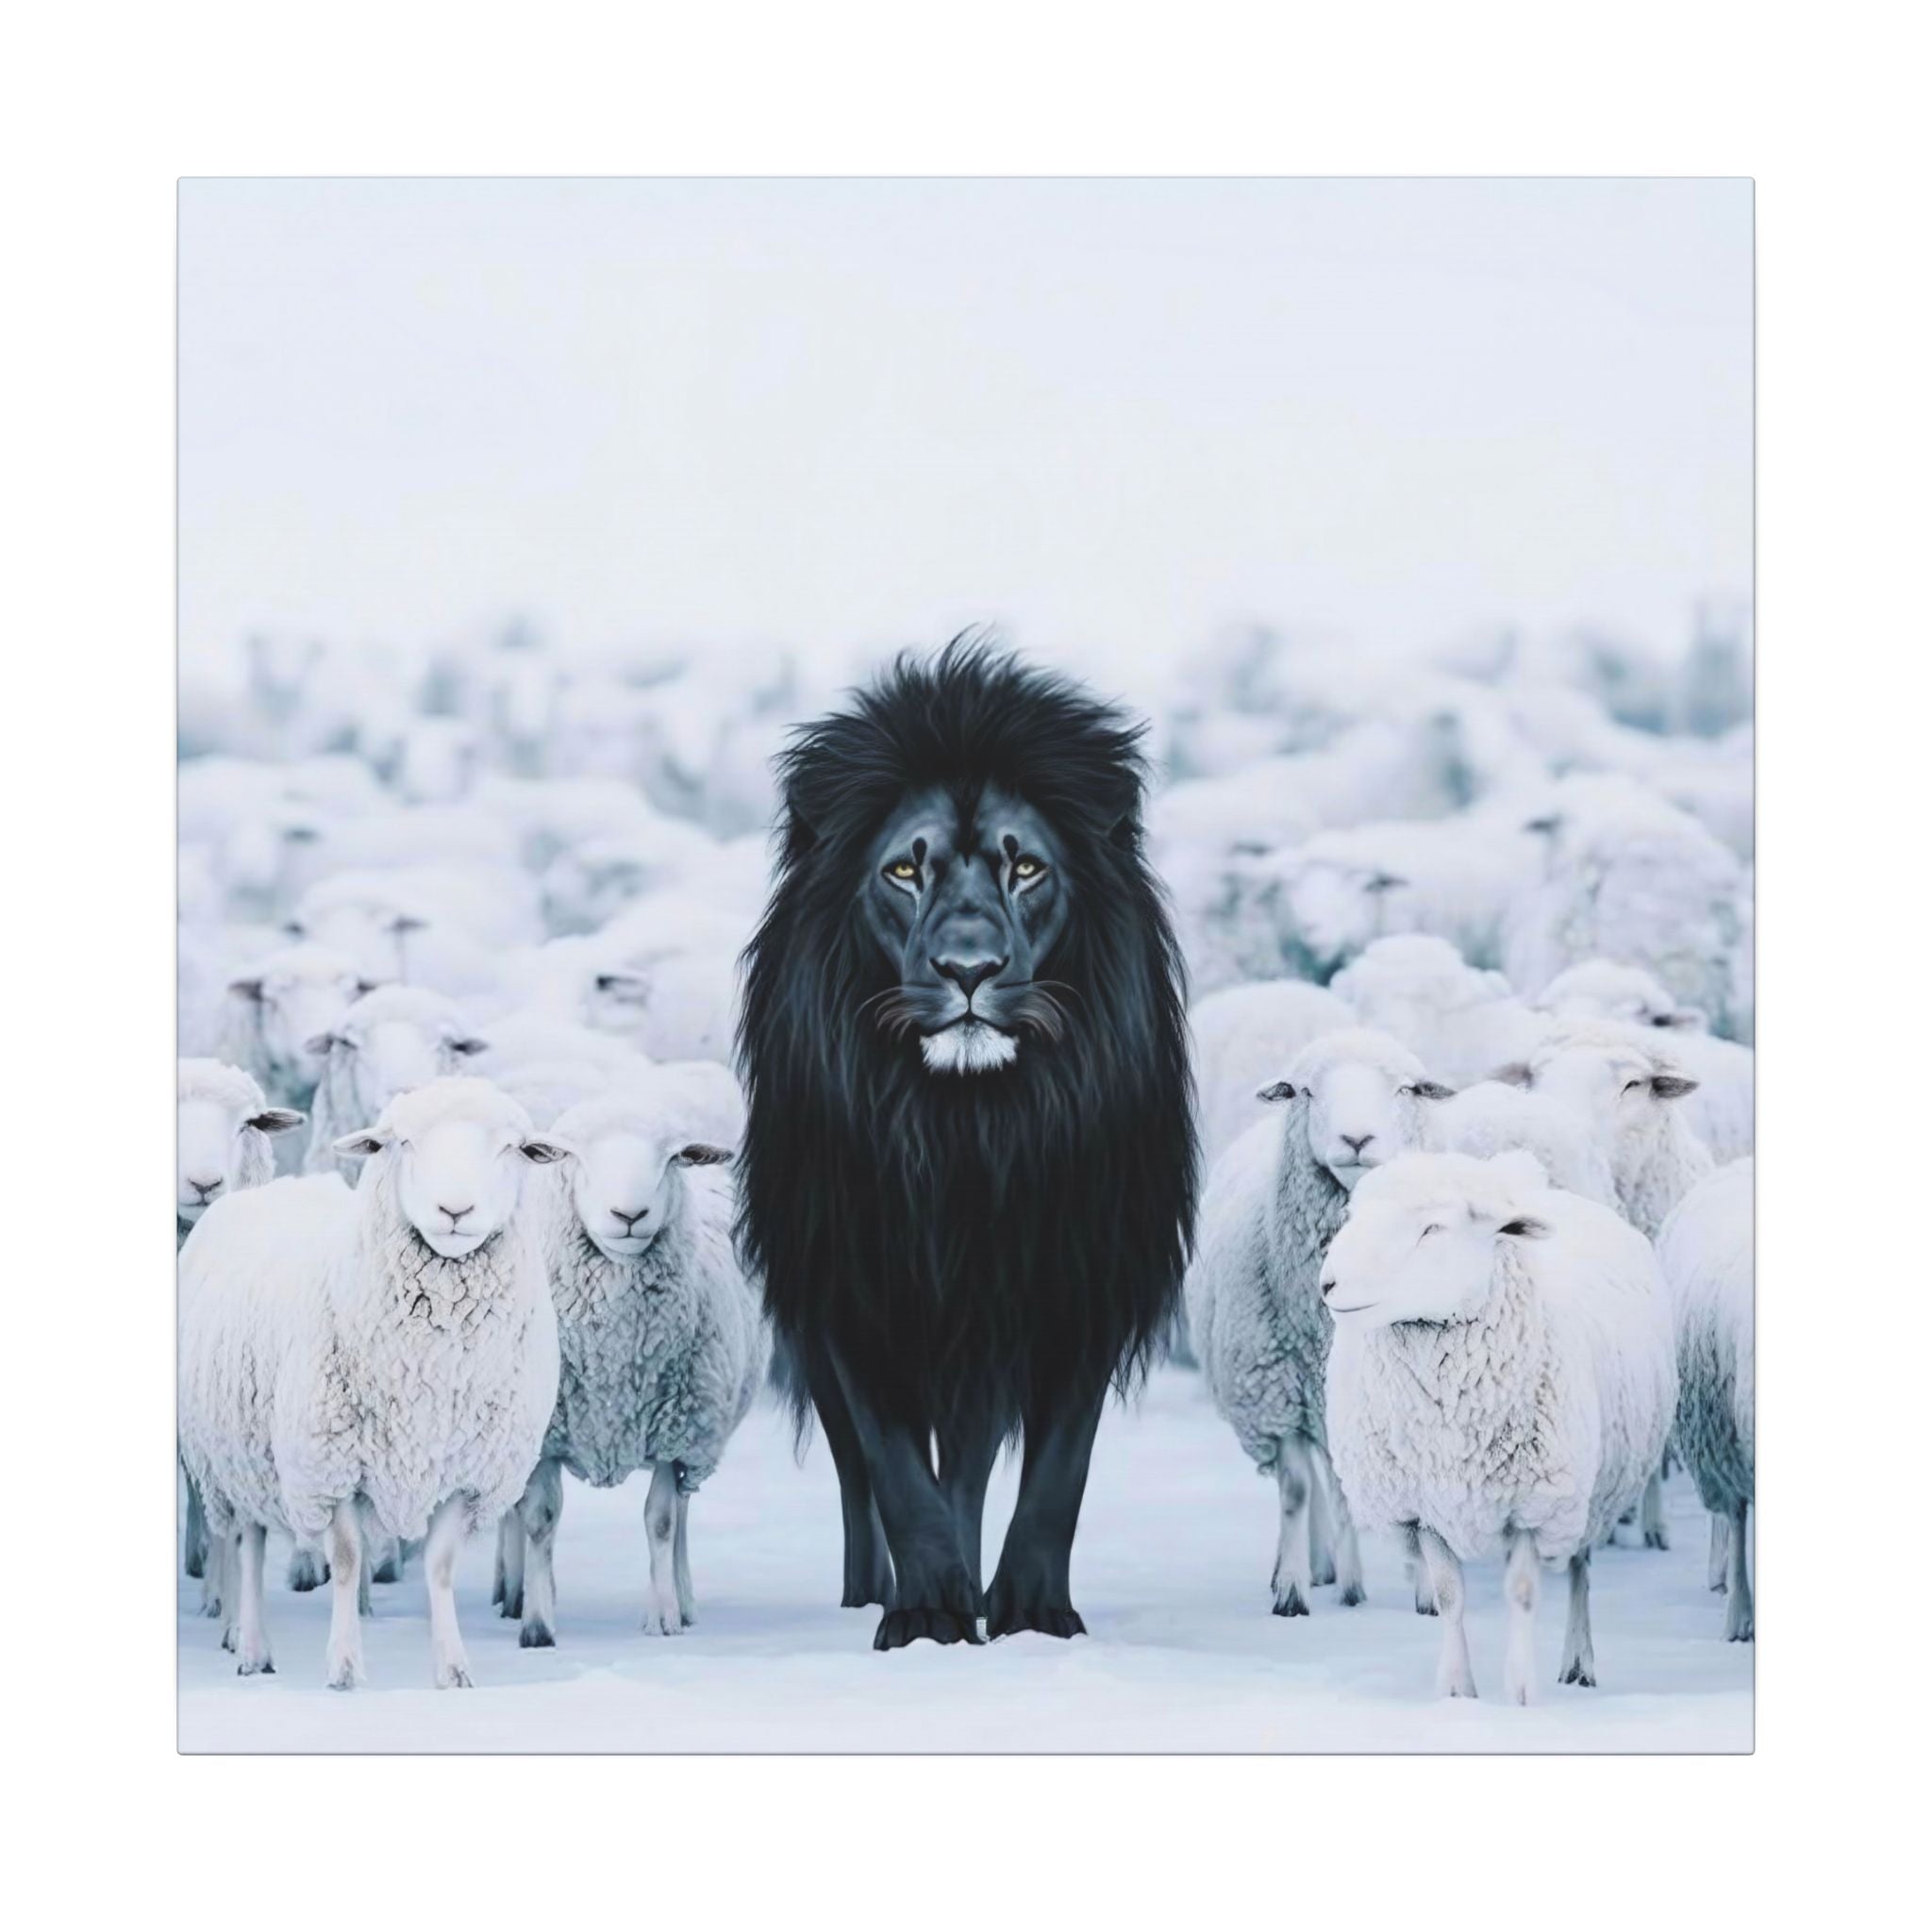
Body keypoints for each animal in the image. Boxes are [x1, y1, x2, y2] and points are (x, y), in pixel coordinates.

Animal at [177, 1077, 565, 1687]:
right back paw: (251, 1646)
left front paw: (453, 1669)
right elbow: (346, 1558)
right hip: (237, 1459)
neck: (432, 1367)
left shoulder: (465, 1473)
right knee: (247, 1544)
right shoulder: (329, 1465)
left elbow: (440, 1565)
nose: (455, 1210)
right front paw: (344, 1667)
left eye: (514, 1149)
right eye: (400, 1142)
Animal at [496, 1083, 768, 1646]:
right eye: (572, 1155)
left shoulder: (672, 1431)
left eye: (673, 1158)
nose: (629, 1214)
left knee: (683, 1511)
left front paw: (663, 1616)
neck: (615, 1360)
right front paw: (536, 1623)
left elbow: (661, 1520)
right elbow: (539, 1518)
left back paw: (684, 1602)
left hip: (697, 1439)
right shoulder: (544, 1435)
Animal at [737, 640, 1197, 1648]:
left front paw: (1030, 1614)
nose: (970, 970)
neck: (971, 1133)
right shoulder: (855, 1290)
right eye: (904, 874)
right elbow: (898, 1475)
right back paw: (873, 1592)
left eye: (1025, 870)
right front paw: (924, 1615)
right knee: (860, 1478)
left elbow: (1056, 1474)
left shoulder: (1078, 1282)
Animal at [1184, 1028, 1454, 1617]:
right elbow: (1296, 1491)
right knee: (1314, 1478)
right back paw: (1324, 1568)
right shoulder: (1275, 1395)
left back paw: (1349, 1579)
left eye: (1405, 1089)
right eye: (1304, 1091)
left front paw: (1428, 1592)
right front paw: (1291, 1589)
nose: (1356, 1138)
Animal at [1323, 1150, 1677, 1701]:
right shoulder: (1425, 1509)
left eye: (1432, 1228)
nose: (1328, 1283)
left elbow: (1523, 1593)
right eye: (1353, 1217)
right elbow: (1449, 1596)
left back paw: (1579, 1662)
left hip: (1588, 1493)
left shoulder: (1533, 1507)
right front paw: (1457, 1691)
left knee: (1581, 1572)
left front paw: (1521, 1691)